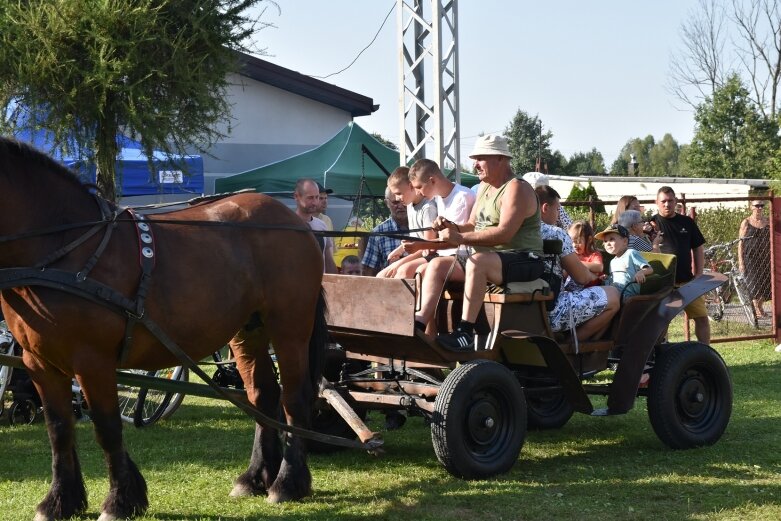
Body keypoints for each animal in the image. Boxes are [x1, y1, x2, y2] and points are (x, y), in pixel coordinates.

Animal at [0, 138, 326, 520]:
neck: (65, 247)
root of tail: (295, 222)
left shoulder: (93, 361)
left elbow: (107, 428)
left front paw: (120, 501)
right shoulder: (40, 363)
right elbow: (59, 430)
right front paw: (60, 501)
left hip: (289, 327)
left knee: (295, 397)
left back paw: (287, 482)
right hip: (248, 331)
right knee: (264, 395)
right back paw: (255, 477)